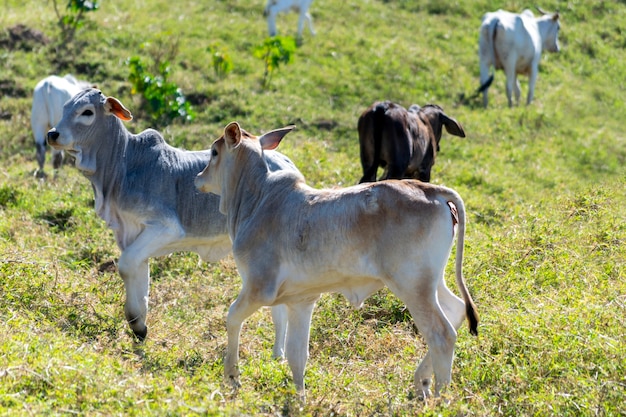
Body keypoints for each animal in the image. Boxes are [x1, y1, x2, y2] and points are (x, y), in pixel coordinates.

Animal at [45, 89, 296, 356]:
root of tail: (286, 163)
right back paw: (278, 357)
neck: (123, 163)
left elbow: (125, 266)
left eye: (87, 112)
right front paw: (140, 328)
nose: (53, 134)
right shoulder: (132, 236)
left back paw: (278, 356)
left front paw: (137, 324)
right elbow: (138, 278)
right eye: (65, 108)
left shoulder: (166, 228)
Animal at [195, 121, 478, 400]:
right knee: (455, 310)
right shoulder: (300, 300)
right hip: (431, 282)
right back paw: (423, 381)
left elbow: (232, 318)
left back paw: (440, 398)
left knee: (441, 335)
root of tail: (431, 190)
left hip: (412, 287)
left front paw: (232, 377)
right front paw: (300, 400)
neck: (256, 201)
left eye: (214, 152)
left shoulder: (257, 289)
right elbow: (297, 355)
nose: (199, 178)